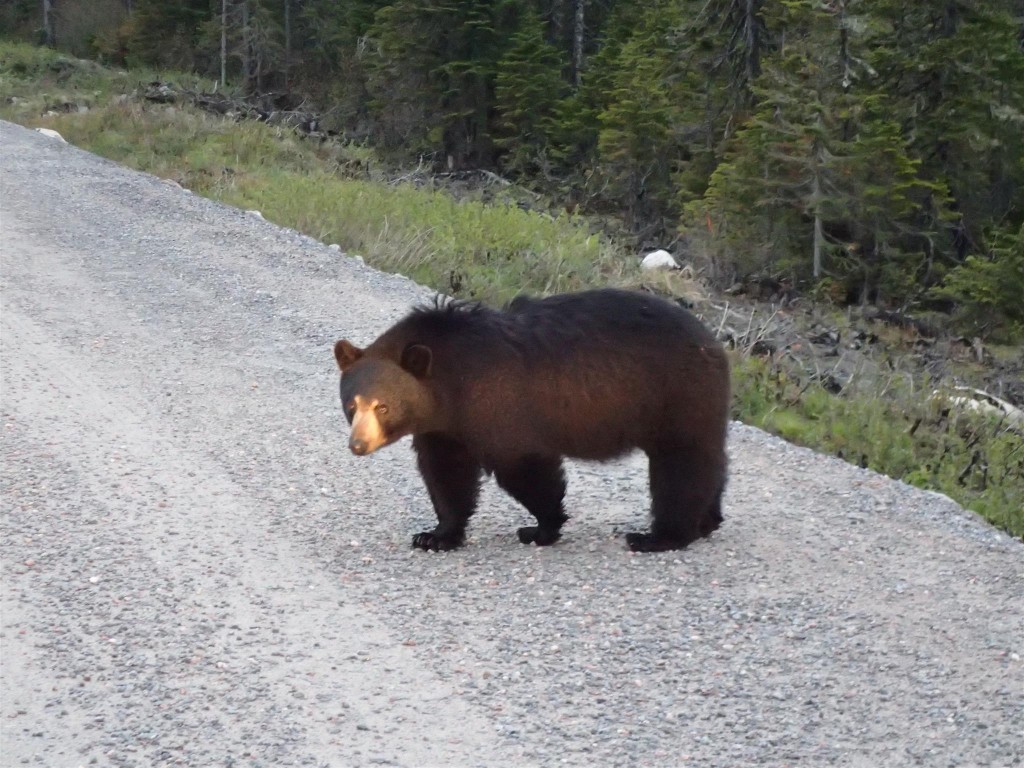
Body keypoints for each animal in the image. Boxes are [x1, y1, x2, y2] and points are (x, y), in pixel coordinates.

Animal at [333, 286, 729, 552]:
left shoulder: (495, 400)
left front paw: (542, 528)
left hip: (676, 395)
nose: (358, 444)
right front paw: (434, 535)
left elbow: (523, 467)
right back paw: (706, 521)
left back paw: (659, 536)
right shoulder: (445, 426)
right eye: (352, 405)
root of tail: (713, 342)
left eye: (382, 406)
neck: (449, 379)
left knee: (680, 465)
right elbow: (446, 473)